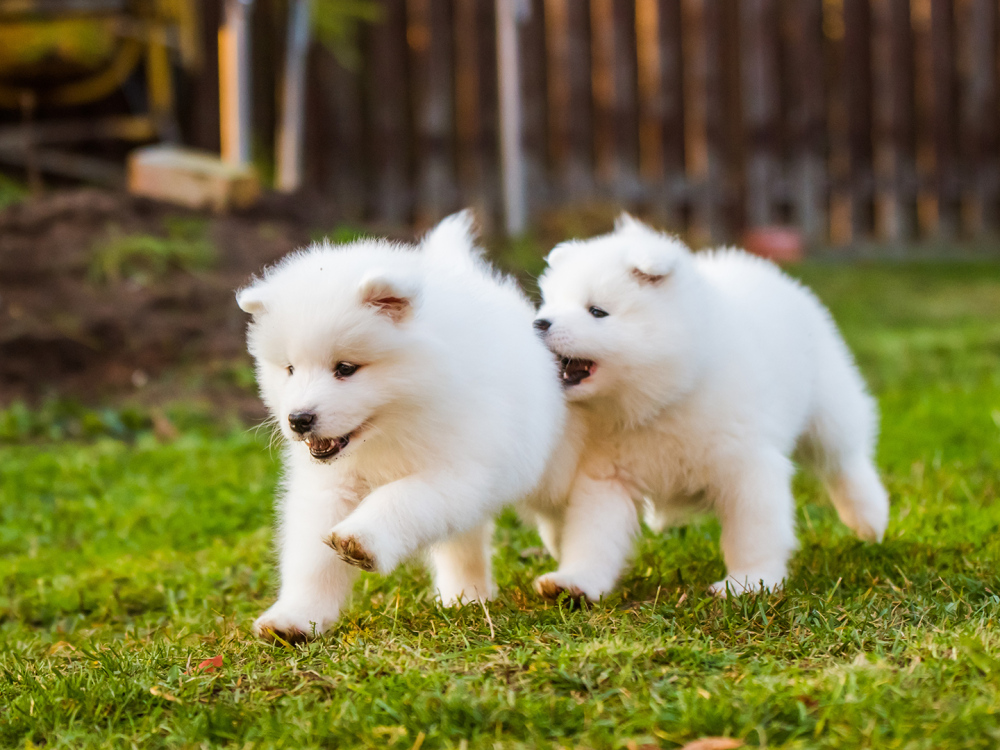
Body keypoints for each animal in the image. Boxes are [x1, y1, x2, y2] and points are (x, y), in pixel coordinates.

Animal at [234, 210, 564, 640]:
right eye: (290, 369)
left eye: (345, 368)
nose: (299, 420)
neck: (390, 429)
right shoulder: (332, 485)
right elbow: (311, 559)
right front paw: (294, 618)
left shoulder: (459, 472)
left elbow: (400, 499)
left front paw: (360, 540)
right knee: (464, 542)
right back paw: (466, 596)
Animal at [532, 214, 892, 604]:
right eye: (549, 305)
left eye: (597, 312)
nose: (539, 323)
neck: (663, 399)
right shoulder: (608, 477)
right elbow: (593, 537)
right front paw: (576, 581)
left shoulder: (746, 466)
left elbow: (753, 533)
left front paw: (750, 582)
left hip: (828, 405)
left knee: (845, 459)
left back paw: (870, 518)